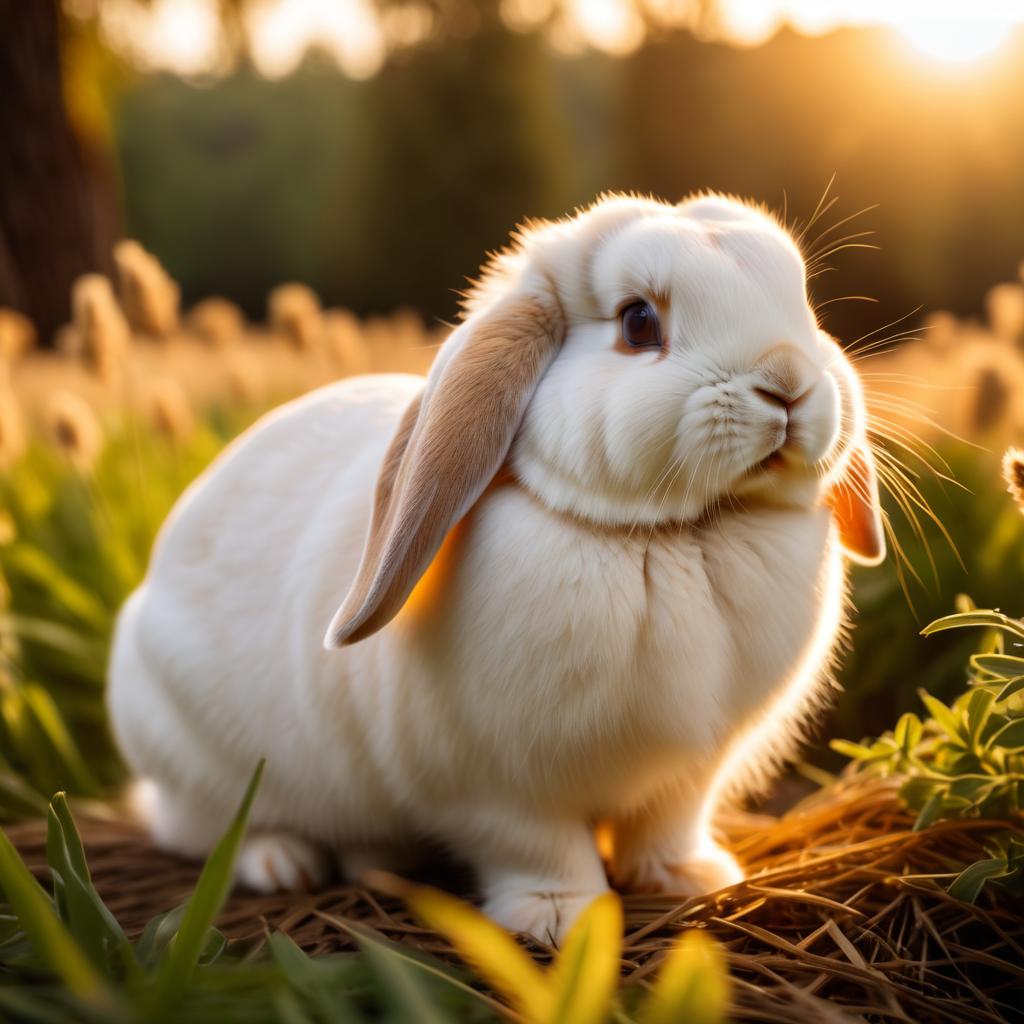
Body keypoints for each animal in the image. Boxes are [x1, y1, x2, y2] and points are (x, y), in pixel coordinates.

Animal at [108, 192, 884, 942]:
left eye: (802, 302)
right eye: (638, 323)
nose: (788, 383)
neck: (671, 537)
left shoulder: (690, 774)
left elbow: (666, 826)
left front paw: (689, 878)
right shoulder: (495, 787)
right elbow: (539, 848)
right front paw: (557, 919)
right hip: (196, 760)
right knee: (209, 828)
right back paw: (281, 861)